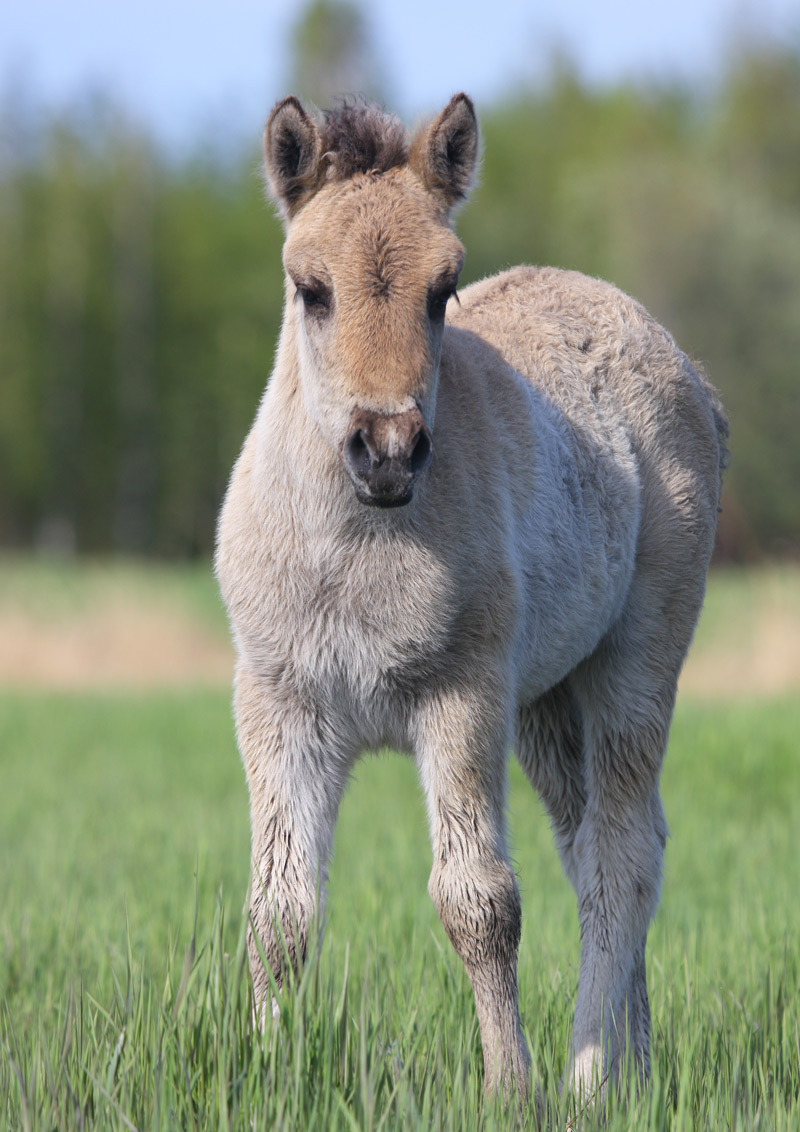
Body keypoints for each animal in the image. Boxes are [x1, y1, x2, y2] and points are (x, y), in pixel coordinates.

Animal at [216, 92, 728, 1100]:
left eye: (442, 289)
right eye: (309, 288)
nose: (385, 450)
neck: (355, 549)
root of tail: (681, 363)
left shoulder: (463, 697)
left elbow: (479, 901)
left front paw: (511, 1087)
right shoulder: (279, 705)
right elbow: (279, 911)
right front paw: (268, 1076)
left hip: (634, 665)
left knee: (623, 854)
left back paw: (590, 1076)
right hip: (547, 701)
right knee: (601, 844)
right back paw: (637, 1064)